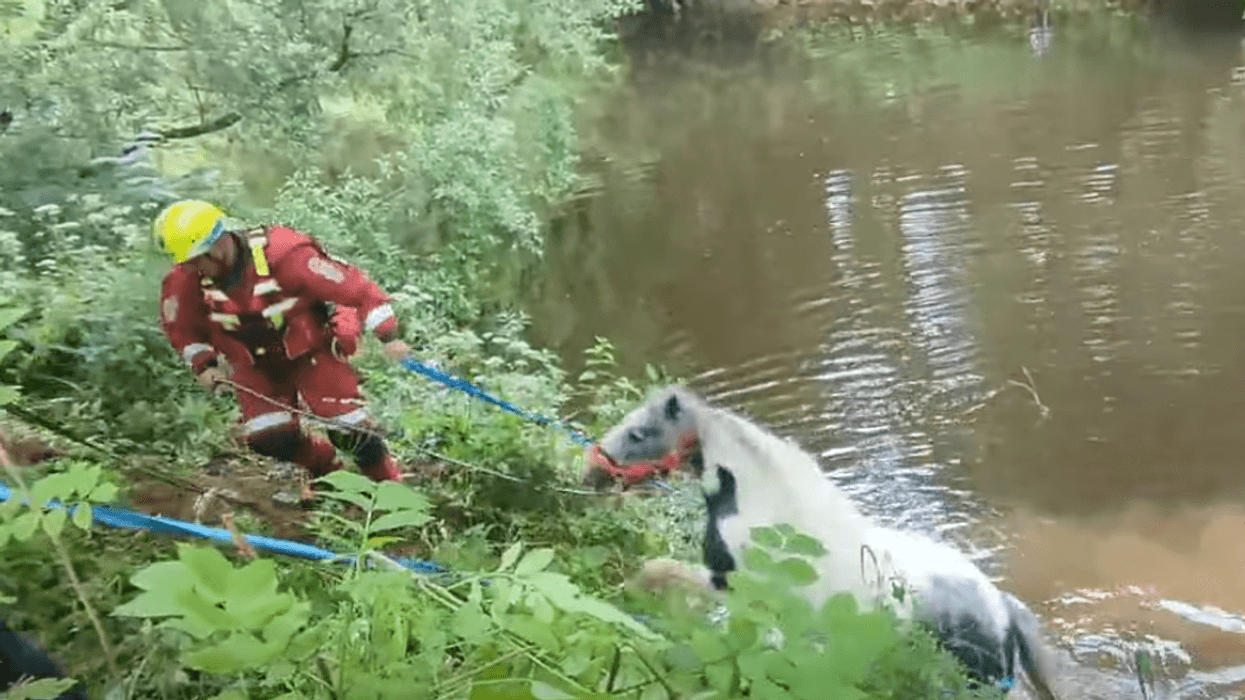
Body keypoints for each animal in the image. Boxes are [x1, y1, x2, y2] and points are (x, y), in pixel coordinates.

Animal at [590, 384, 1060, 700]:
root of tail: (1003, 607)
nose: (591, 472)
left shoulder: (728, 583)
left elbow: (658, 572)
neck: (764, 505)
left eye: (639, 433)